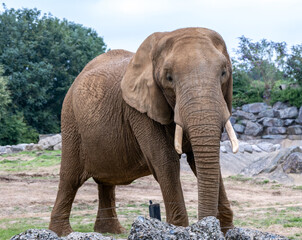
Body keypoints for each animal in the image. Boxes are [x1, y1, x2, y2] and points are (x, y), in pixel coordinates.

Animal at [49, 27, 238, 236]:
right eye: (169, 78)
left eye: (224, 73)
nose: (207, 224)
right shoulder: (138, 110)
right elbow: (165, 161)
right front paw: (178, 230)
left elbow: (198, 161)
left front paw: (228, 231)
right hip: (70, 120)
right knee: (70, 178)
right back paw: (62, 232)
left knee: (105, 181)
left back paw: (112, 231)